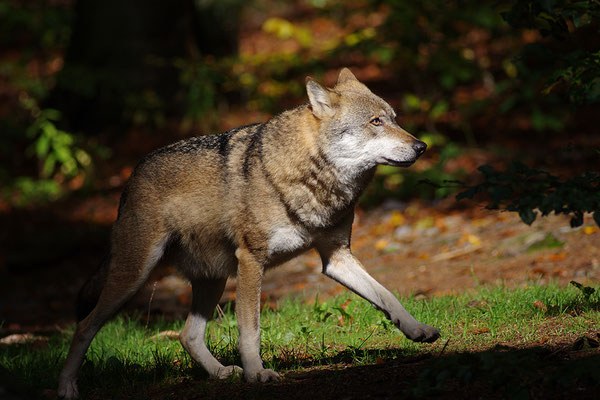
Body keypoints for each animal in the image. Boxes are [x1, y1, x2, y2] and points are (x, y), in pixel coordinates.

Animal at [57, 68, 440, 396]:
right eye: (375, 122)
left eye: (394, 118)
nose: (421, 146)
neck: (312, 178)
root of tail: (131, 176)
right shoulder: (251, 260)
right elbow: (250, 329)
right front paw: (257, 373)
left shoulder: (336, 257)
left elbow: (386, 295)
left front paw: (416, 329)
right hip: (135, 276)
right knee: (84, 326)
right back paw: (66, 387)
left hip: (213, 278)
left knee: (187, 335)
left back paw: (221, 373)